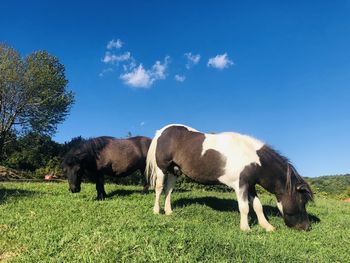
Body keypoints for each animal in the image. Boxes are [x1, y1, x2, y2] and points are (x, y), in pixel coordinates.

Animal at [146, 125, 314, 232]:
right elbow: (244, 207)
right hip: (162, 168)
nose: (306, 227)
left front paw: (267, 227)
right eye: (302, 201)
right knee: (159, 188)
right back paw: (157, 211)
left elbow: (257, 206)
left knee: (169, 190)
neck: (253, 158)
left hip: (174, 171)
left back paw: (168, 211)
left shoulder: (250, 185)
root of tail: (162, 131)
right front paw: (246, 228)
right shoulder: (241, 185)